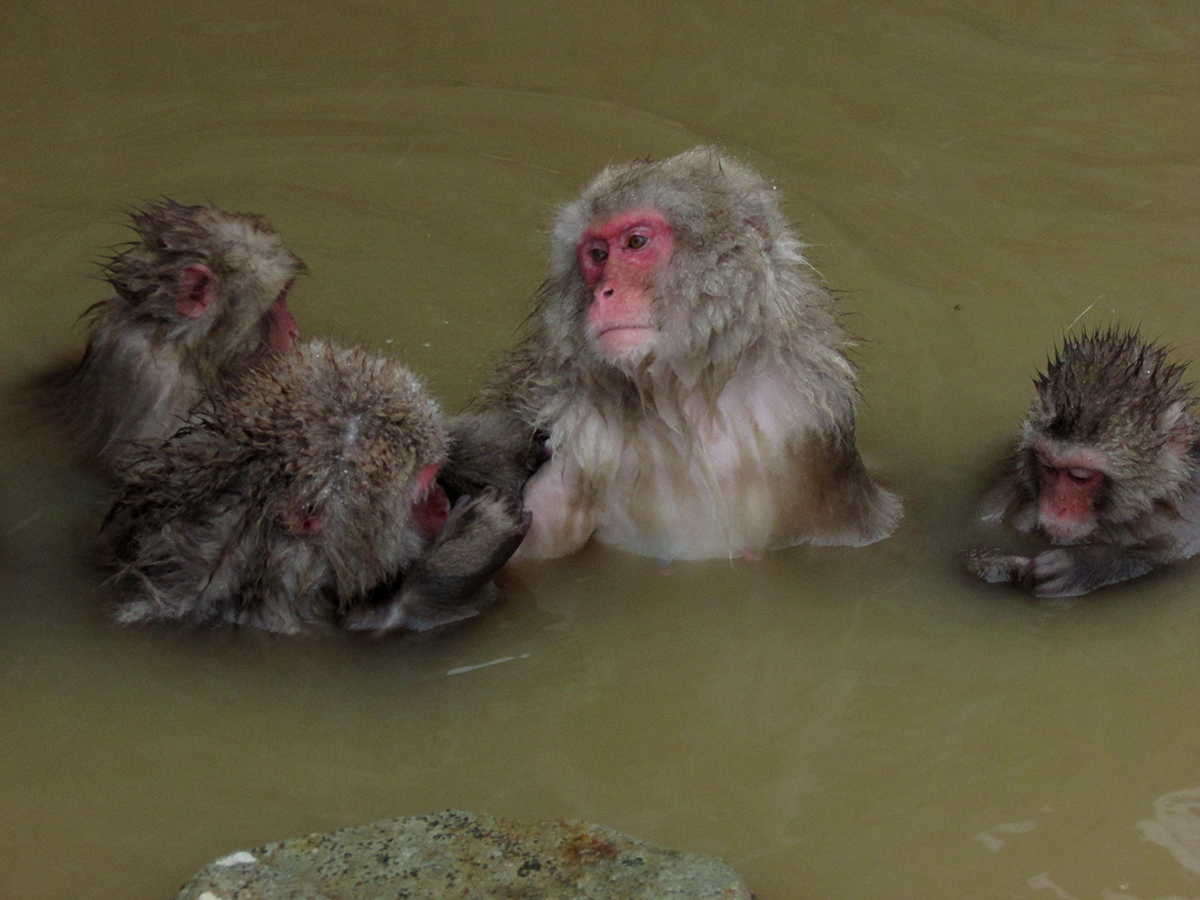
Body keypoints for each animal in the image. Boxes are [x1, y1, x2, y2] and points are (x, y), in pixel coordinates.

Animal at [101, 340, 530, 634]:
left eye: (433, 473)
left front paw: (486, 450)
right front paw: (469, 548)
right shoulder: (280, 605)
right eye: (422, 496)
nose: (441, 503)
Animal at [447, 146, 901, 562]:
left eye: (635, 242)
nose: (604, 292)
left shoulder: (810, 422)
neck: (687, 398)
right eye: (597, 255)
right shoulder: (572, 447)